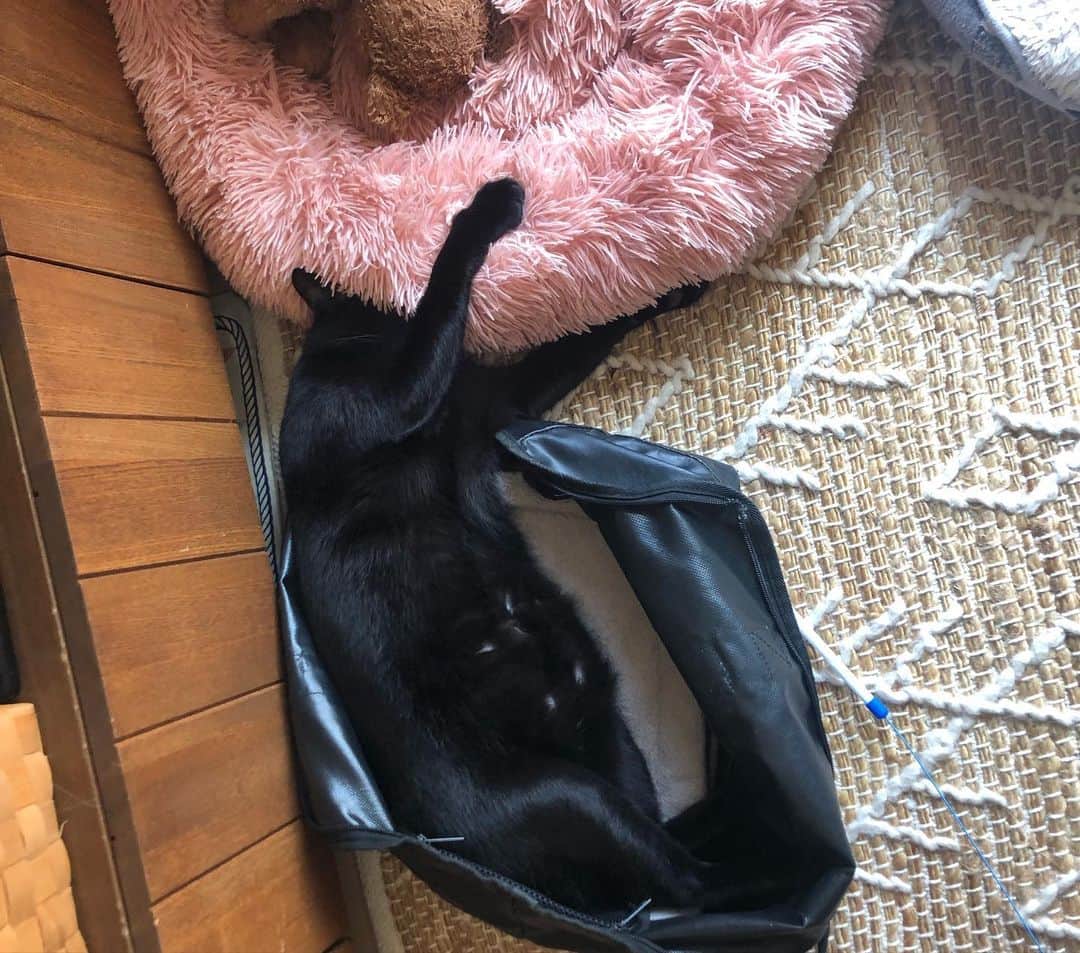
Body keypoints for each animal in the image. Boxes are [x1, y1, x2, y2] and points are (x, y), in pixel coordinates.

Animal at [280, 178, 708, 915]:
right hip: (575, 797)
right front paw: (489, 206)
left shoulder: (498, 404)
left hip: (615, 751)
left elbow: (580, 337)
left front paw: (667, 294)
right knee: (684, 882)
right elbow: (443, 289)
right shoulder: (402, 394)